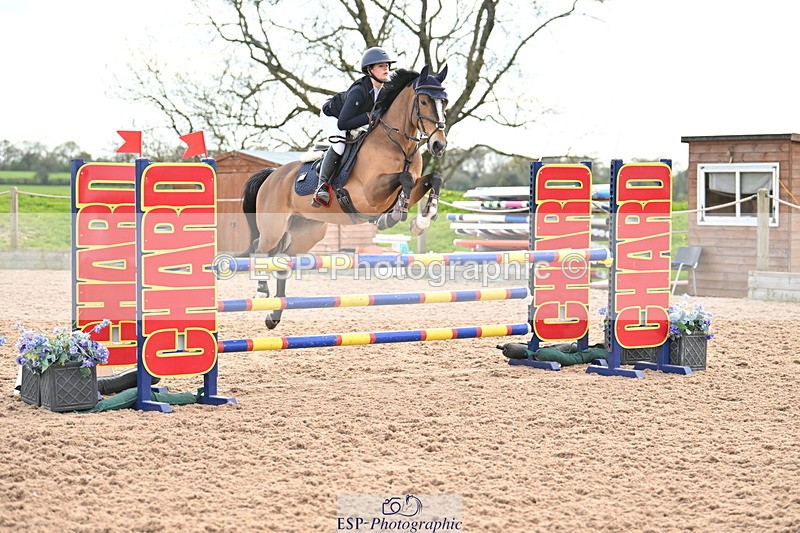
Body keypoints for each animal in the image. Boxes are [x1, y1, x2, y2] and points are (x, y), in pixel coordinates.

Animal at [241, 65, 450, 329]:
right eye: (423, 101)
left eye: (445, 101)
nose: (439, 145)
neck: (399, 145)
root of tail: (272, 174)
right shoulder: (369, 193)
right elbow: (405, 179)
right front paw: (394, 217)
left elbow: (433, 179)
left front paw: (420, 221)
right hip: (273, 227)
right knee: (260, 248)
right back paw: (261, 291)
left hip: (308, 231)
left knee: (281, 260)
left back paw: (273, 315)